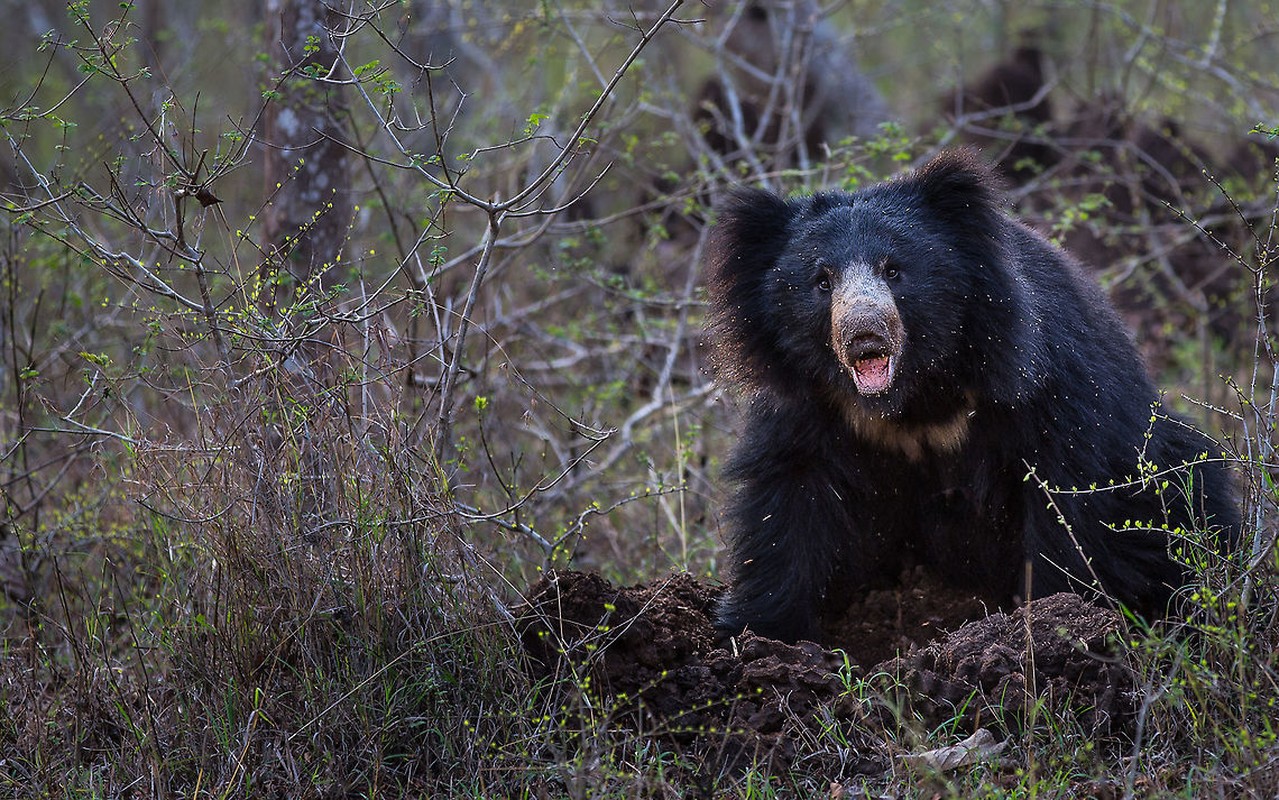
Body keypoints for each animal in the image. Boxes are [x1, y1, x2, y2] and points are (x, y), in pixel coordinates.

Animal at [706, 148, 1232, 642]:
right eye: (821, 281)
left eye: (894, 270)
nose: (864, 333)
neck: (916, 394)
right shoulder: (814, 405)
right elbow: (791, 496)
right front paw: (762, 632)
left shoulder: (1044, 383)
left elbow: (1069, 503)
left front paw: (1055, 614)